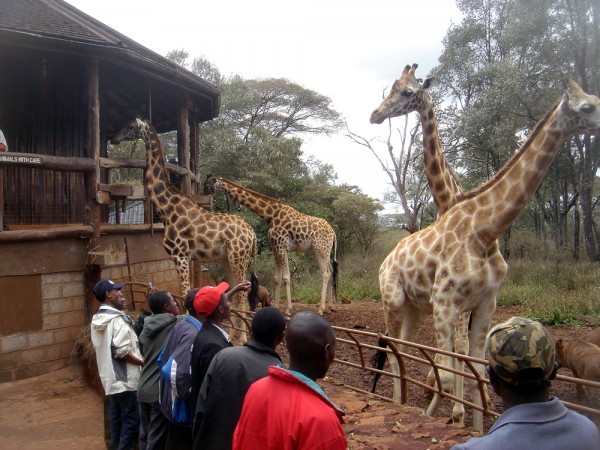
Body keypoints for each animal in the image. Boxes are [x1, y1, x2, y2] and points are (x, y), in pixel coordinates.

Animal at [112, 119, 258, 342]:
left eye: (130, 126)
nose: (114, 138)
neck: (166, 209)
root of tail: (252, 233)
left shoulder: (180, 254)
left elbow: (184, 292)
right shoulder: (180, 257)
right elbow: (185, 293)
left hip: (238, 257)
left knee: (243, 291)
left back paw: (241, 338)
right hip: (228, 258)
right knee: (236, 288)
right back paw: (234, 335)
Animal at [204, 174, 338, 314]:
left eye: (210, 183)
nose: (205, 192)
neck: (270, 215)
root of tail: (333, 232)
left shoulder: (282, 247)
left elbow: (286, 277)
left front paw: (288, 310)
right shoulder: (275, 248)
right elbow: (277, 278)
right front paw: (277, 306)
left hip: (320, 249)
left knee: (325, 273)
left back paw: (321, 309)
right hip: (324, 251)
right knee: (331, 271)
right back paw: (330, 307)